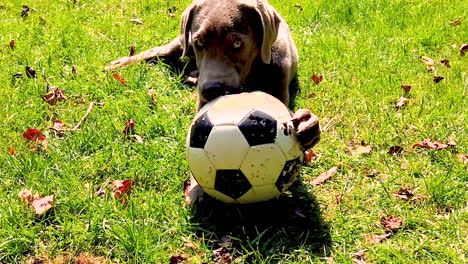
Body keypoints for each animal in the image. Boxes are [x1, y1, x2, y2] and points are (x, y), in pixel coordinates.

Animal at [106, 0, 322, 202]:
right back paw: (119, 63)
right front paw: (196, 188)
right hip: (181, 43)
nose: (211, 89)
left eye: (237, 44)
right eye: (200, 42)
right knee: (158, 51)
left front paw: (307, 124)